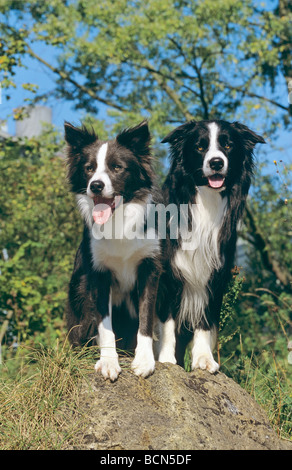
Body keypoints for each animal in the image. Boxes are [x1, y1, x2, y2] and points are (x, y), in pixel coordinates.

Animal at [65, 119, 162, 380]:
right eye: (89, 168)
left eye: (117, 167)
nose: (96, 186)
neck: (118, 221)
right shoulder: (99, 274)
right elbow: (104, 325)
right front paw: (108, 362)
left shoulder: (149, 269)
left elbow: (146, 318)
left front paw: (144, 361)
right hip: (79, 289)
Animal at [155, 119, 264, 372]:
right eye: (199, 147)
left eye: (228, 145)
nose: (216, 162)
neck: (205, 201)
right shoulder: (168, 275)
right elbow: (167, 322)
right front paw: (166, 360)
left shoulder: (215, 275)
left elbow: (205, 320)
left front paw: (204, 359)